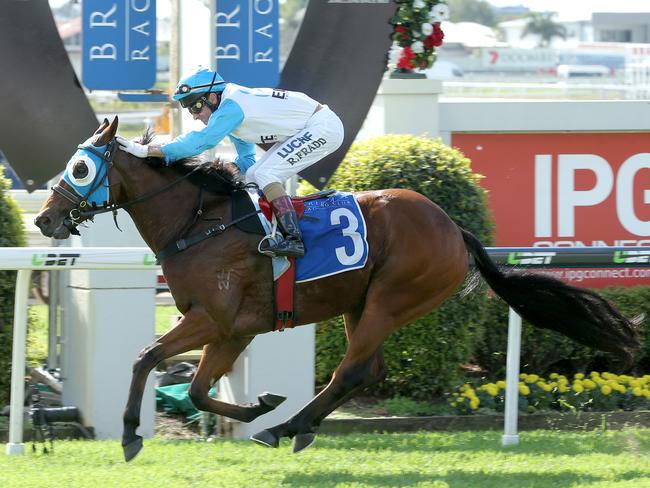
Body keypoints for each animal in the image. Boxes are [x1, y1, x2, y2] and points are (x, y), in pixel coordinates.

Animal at [33, 118, 636, 462]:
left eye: (80, 167)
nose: (44, 220)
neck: (197, 223)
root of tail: (456, 229)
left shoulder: (212, 319)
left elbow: (144, 357)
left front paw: (131, 435)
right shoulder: (233, 329)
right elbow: (201, 391)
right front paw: (259, 403)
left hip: (392, 298)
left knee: (352, 370)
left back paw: (289, 427)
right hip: (361, 304)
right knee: (368, 370)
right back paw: (295, 425)